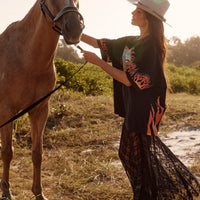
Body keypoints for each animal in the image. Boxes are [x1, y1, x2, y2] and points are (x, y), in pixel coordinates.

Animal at [0, 0, 84, 199]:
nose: (74, 29)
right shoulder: (7, 110)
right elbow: (7, 152)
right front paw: (6, 190)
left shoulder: (40, 110)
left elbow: (37, 153)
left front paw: (38, 192)